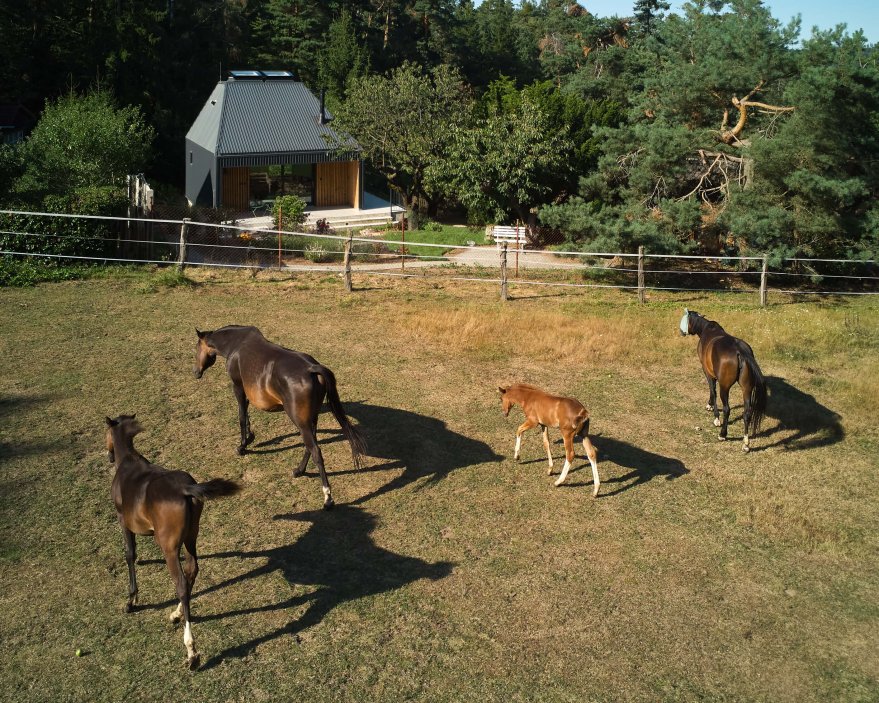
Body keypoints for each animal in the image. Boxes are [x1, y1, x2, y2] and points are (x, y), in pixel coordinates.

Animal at [104, 416, 241, 668]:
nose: (108, 454)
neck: (128, 463)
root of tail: (185, 489)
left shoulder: (122, 521)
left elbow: (130, 554)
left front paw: (131, 600)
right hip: (191, 538)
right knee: (191, 571)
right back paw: (177, 614)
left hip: (169, 548)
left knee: (181, 584)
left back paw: (191, 651)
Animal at [194, 328, 366, 508]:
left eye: (196, 348)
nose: (196, 372)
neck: (236, 343)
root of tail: (312, 369)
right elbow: (246, 415)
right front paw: (250, 437)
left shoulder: (238, 388)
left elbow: (241, 416)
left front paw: (242, 446)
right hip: (310, 420)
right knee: (310, 446)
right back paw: (299, 471)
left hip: (301, 422)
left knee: (315, 451)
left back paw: (327, 498)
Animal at [684, 306, 768, 452]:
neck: (706, 329)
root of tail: (740, 352)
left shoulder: (708, 373)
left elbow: (713, 392)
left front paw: (714, 414)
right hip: (746, 388)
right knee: (747, 413)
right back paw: (745, 444)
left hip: (725, 387)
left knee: (727, 409)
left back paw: (722, 434)